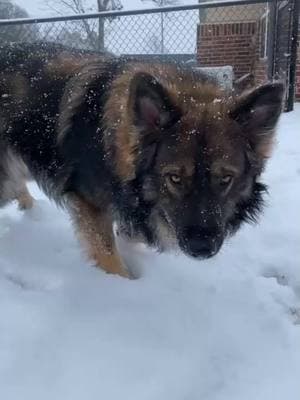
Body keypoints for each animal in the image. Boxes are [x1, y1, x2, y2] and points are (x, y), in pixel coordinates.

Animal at [0, 42, 284, 276]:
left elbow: (136, 229)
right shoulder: (91, 206)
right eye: (174, 178)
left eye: (225, 178)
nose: (201, 248)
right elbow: (110, 257)